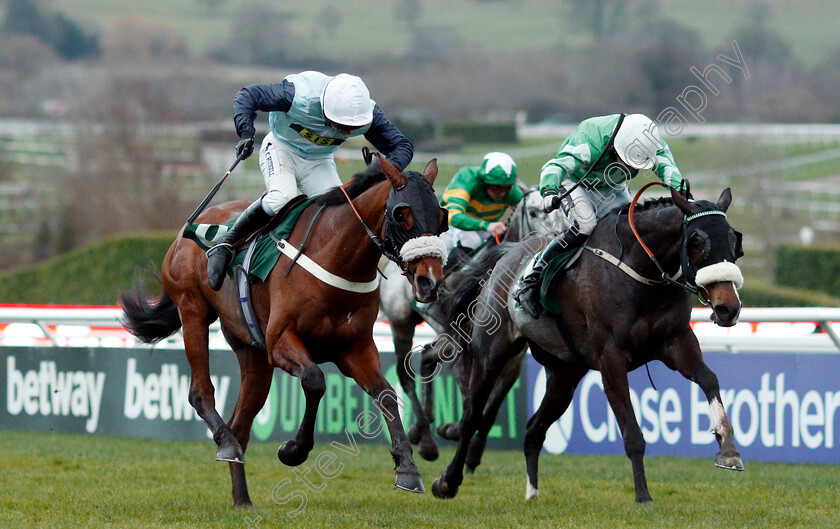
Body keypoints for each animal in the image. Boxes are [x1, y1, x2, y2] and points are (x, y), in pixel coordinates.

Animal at [120, 155, 446, 506]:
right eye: (402, 214)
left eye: (441, 215)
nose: (430, 281)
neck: (335, 257)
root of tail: (189, 227)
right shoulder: (280, 341)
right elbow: (315, 381)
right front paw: (293, 450)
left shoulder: (355, 348)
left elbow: (386, 393)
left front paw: (408, 467)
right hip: (192, 308)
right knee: (200, 392)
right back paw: (225, 443)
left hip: (253, 355)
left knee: (241, 425)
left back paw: (242, 496)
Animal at [378, 188, 560, 460]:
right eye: (534, 211)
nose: (555, 236)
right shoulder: (470, 347)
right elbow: (470, 394)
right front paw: (455, 430)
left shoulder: (511, 356)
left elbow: (493, 403)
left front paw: (472, 447)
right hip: (402, 322)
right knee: (405, 373)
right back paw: (426, 439)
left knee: (427, 357)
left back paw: (421, 427)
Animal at [430, 187, 744, 504]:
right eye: (697, 242)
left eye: (734, 240)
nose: (728, 308)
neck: (641, 271)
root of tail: (509, 254)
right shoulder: (611, 358)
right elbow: (632, 433)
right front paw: (643, 496)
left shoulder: (677, 341)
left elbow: (709, 379)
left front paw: (728, 450)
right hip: (490, 355)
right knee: (471, 417)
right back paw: (447, 481)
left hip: (564, 374)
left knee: (533, 430)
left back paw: (532, 493)